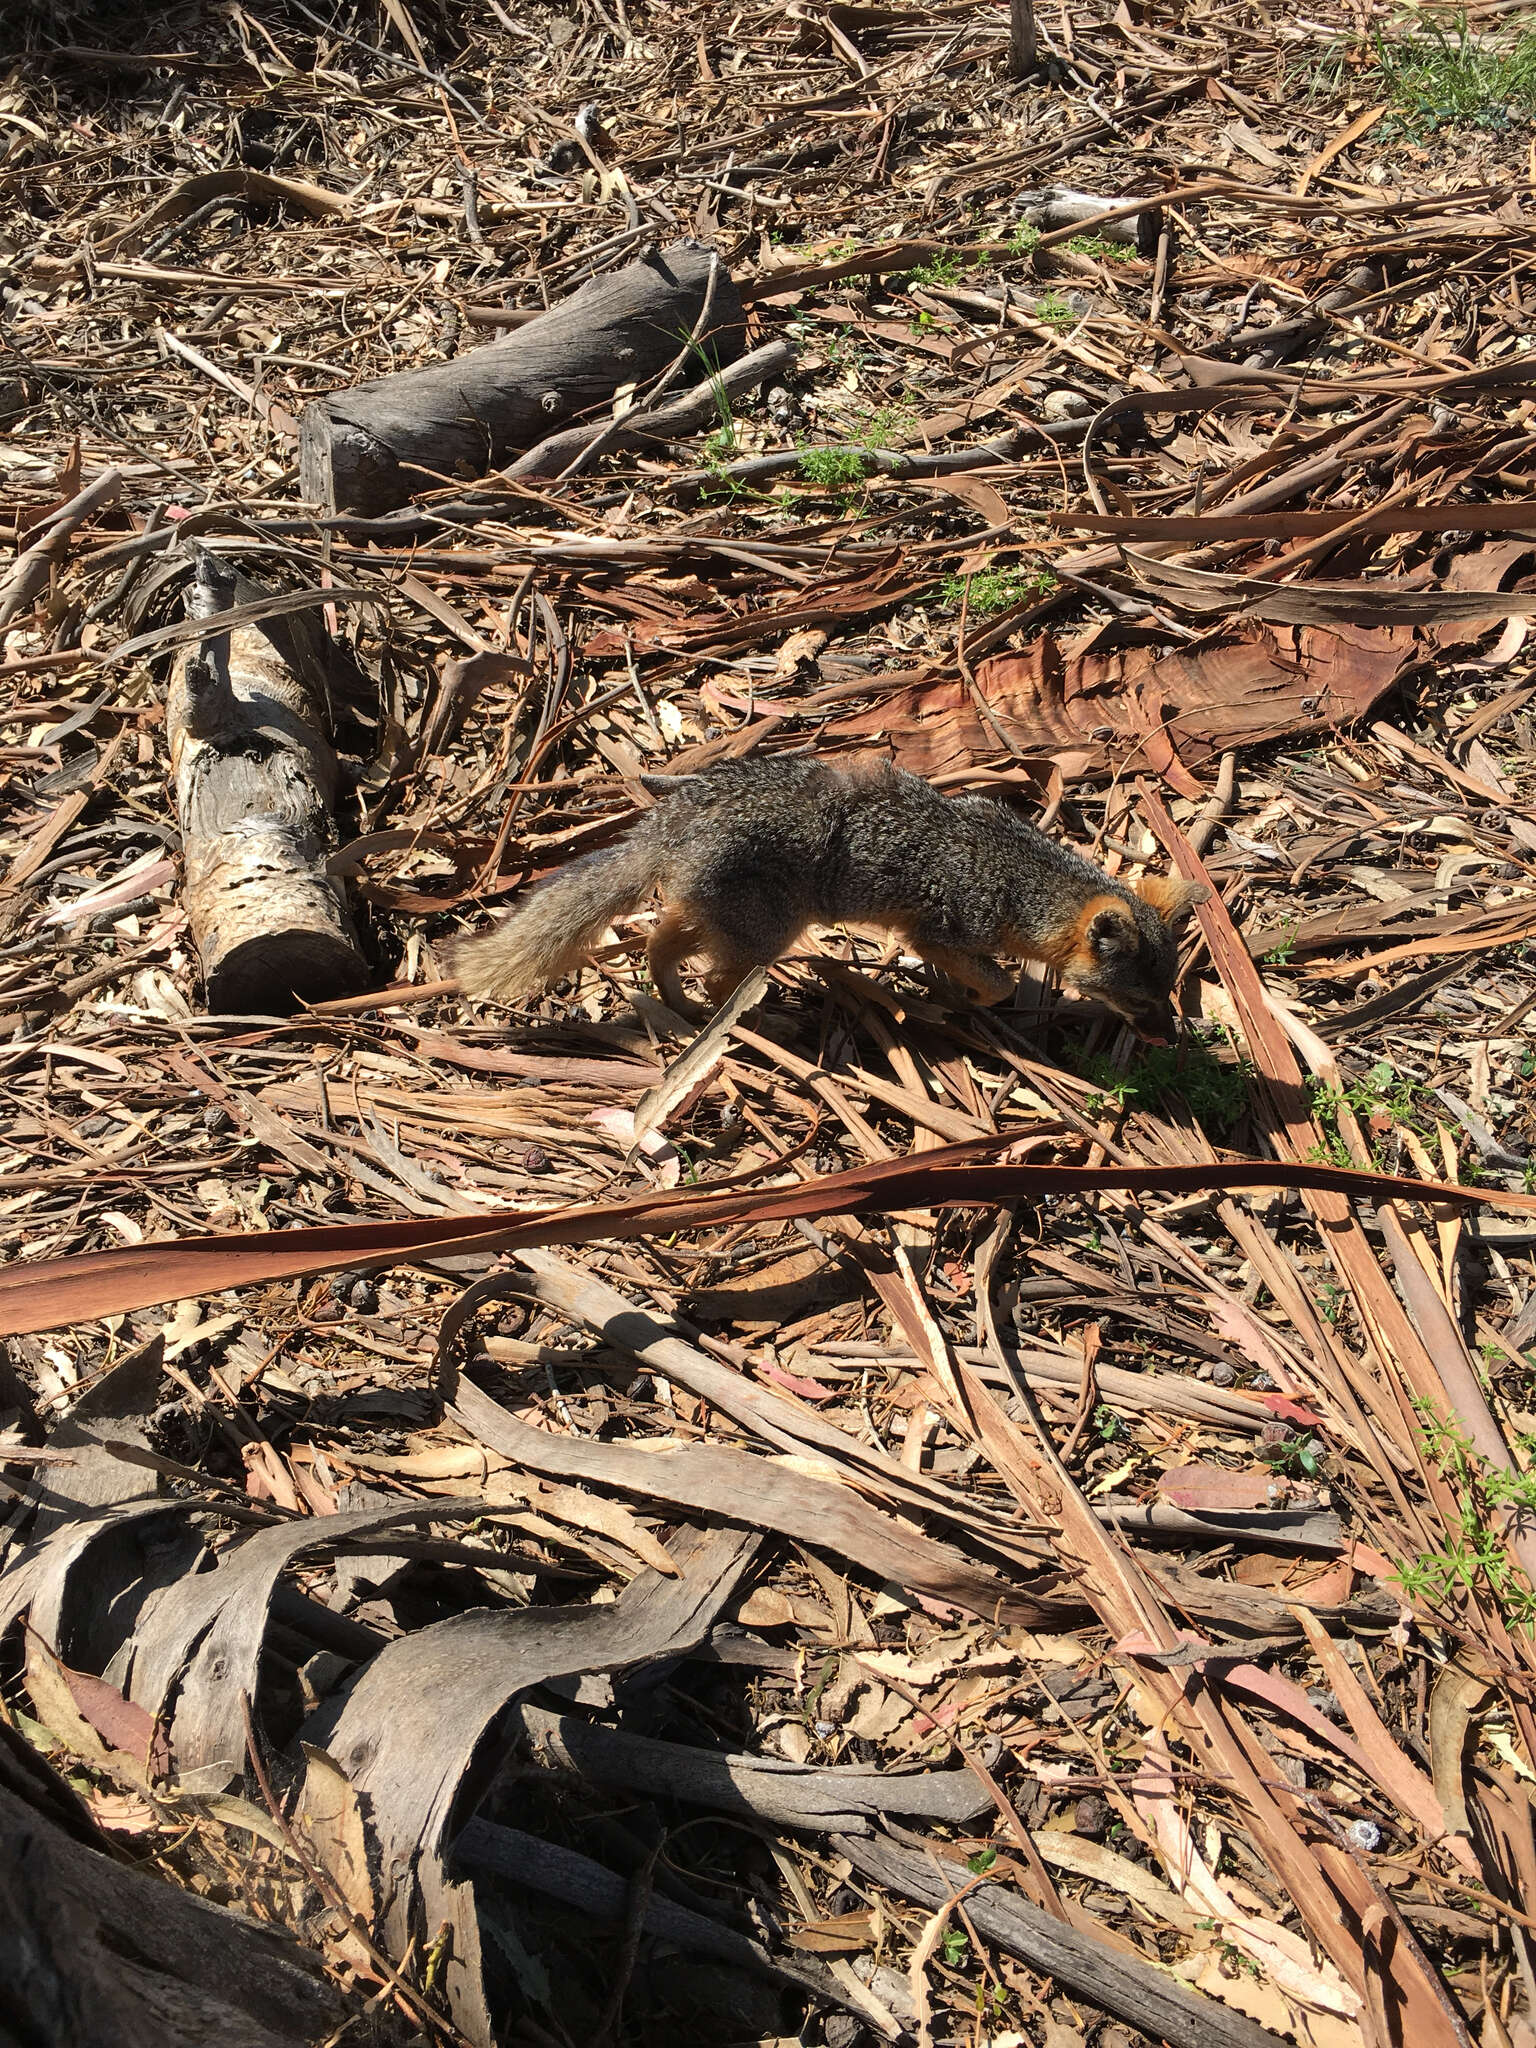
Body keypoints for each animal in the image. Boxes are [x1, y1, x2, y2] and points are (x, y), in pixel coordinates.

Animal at [456, 757, 1212, 1040]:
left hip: (721, 918)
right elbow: (995, 983)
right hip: (768, 933)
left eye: (1169, 993)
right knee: (718, 976)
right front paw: (960, 1000)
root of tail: (668, 823)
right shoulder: (939, 929)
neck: (1017, 874)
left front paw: (949, 995)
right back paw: (756, 1020)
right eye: (1139, 997)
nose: (1169, 1033)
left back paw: (679, 1008)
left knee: (658, 946)